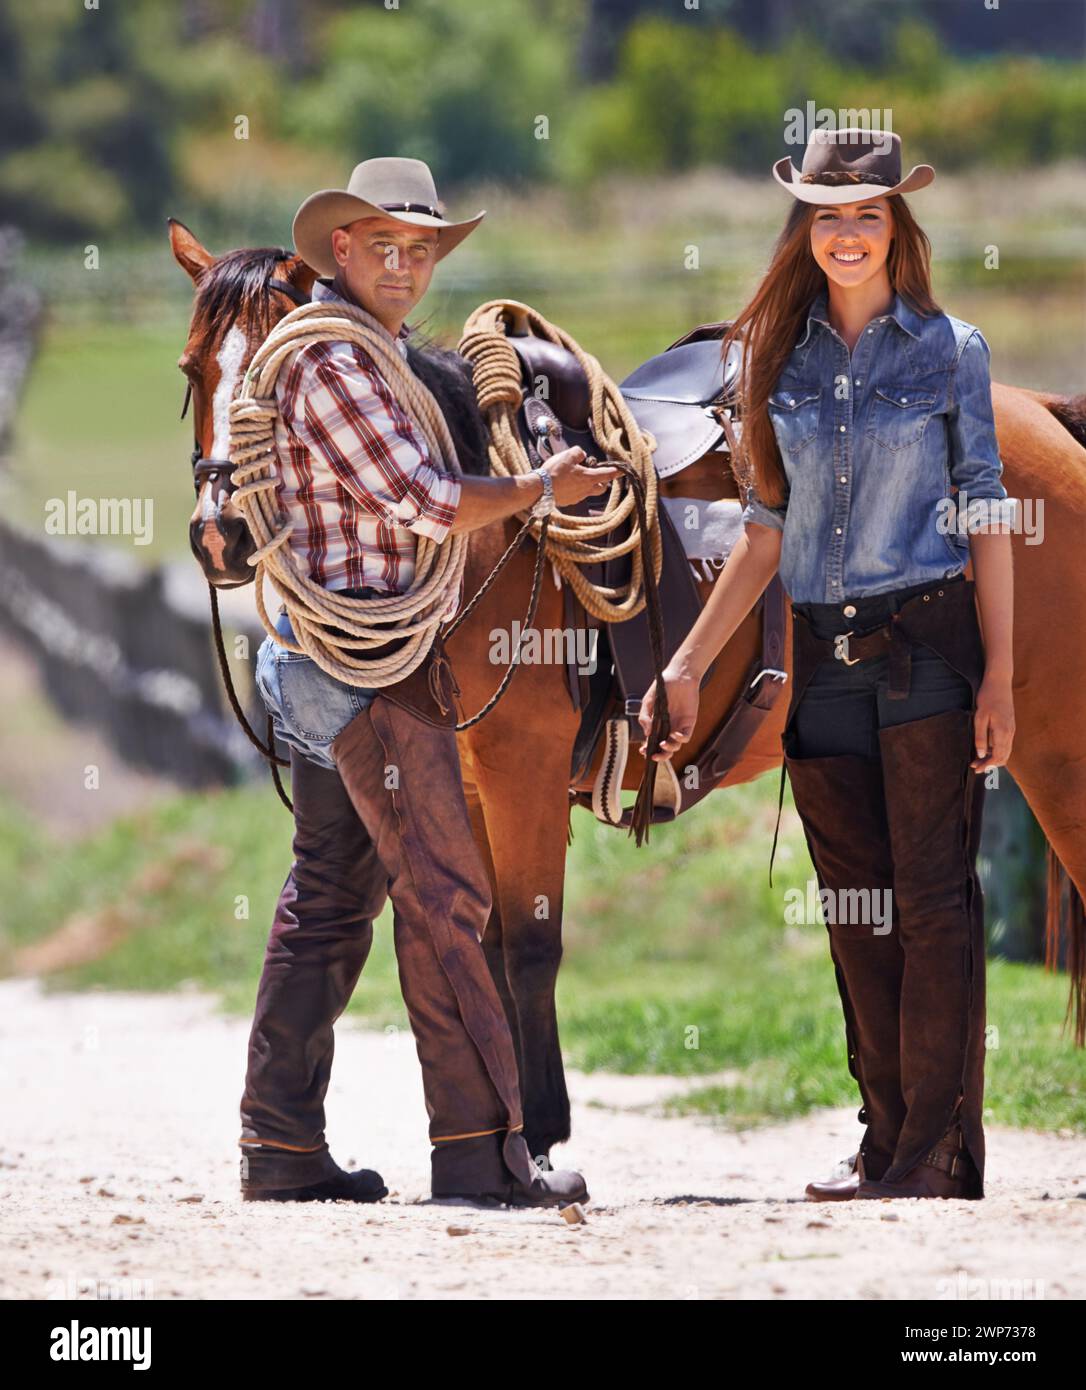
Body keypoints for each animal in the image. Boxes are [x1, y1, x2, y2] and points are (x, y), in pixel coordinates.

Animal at [171, 225, 1084, 1162]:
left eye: (281, 384)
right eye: (193, 370)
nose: (221, 534)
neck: (491, 539)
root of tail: (1040, 415)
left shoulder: (524, 765)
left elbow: (530, 945)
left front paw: (539, 1136)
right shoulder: (467, 779)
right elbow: (485, 936)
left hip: (1056, 743)